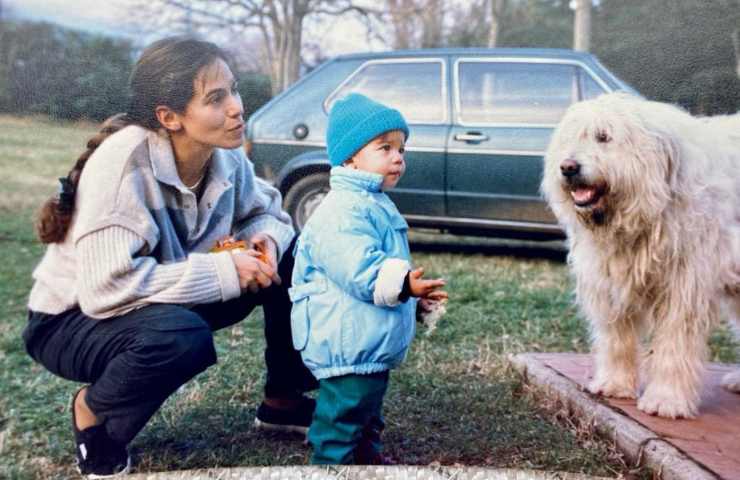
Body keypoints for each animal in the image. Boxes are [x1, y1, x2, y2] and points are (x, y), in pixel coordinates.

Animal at [540, 93, 740, 416]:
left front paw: (666, 400)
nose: (568, 167)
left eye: (603, 137)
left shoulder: (684, 285)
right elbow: (617, 338)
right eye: (571, 137)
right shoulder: (609, 283)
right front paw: (614, 384)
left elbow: (674, 343)